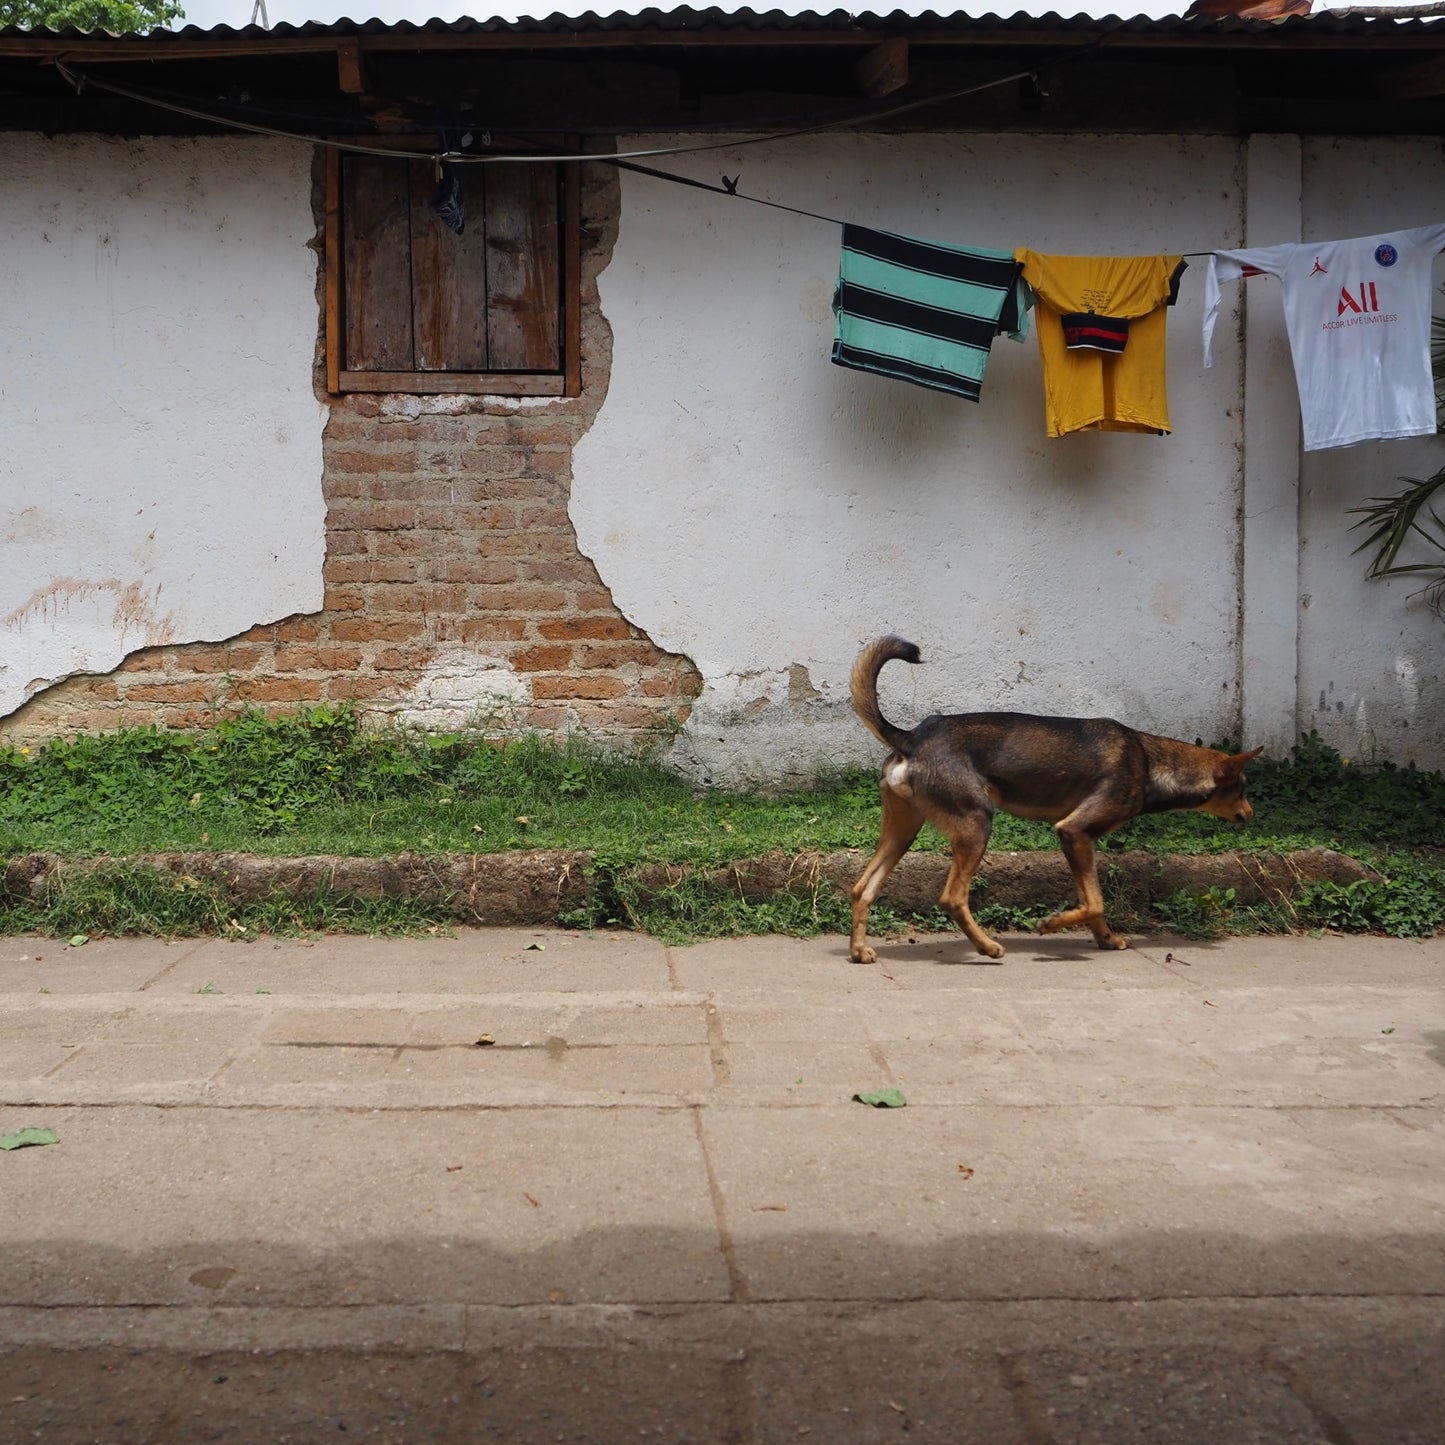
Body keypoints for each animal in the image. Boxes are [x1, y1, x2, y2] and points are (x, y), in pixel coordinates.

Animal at [849, 638, 1260, 965]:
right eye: (1241, 788)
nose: (1251, 814)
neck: (1148, 760)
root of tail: (912, 737)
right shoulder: (1074, 831)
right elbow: (1094, 902)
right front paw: (1051, 925)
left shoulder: (1080, 842)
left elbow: (1092, 899)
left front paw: (1105, 938)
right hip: (976, 823)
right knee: (952, 897)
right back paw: (987, 948)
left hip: (904, 831)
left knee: (862, 888)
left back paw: (859, 950)